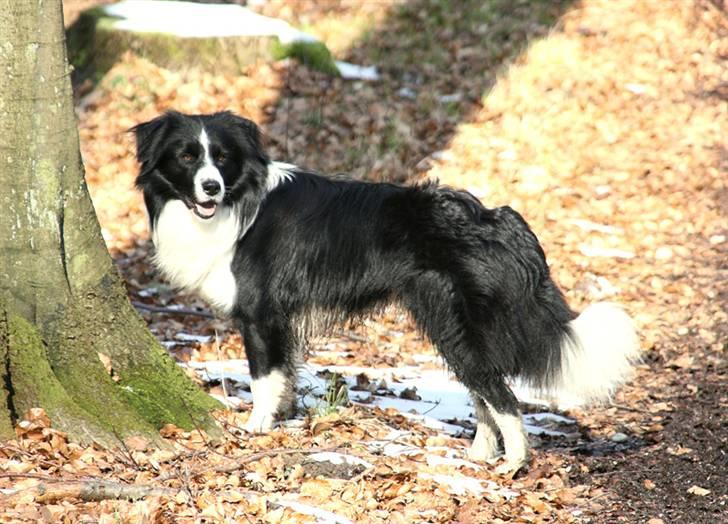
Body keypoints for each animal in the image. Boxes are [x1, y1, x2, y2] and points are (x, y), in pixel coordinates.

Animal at [134, 109, 640, 470]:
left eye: (221, 158)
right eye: (187, 157)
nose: (211, 187)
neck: (237, 204)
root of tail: (496, 218)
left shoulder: (261, 314)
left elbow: (263, 377)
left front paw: (257, 426)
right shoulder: (281, 321)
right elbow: (286, 374)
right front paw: (284, 416)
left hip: (456, 325)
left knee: (502, 397)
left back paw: (513, 463)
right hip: (445, 324)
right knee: (484, 391)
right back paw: (480, 454)